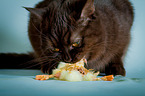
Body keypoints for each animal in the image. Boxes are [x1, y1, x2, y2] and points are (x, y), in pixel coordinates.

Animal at [0, 0, 134, 76]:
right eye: (55, 49)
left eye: (76, 43)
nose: (67, 59)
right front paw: (49, 65)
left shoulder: (123, 32)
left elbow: (118, 54)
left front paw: (116, 68)